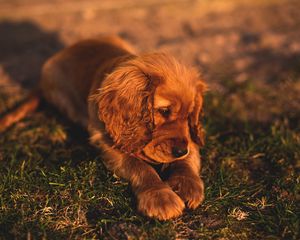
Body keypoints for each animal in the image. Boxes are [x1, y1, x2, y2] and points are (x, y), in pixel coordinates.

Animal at [0, 36, 206, 220]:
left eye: (189, 115)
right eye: (163, 111)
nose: (180, 150)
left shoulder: (189, 139)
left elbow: (187, 158)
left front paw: (188, 186)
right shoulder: (107, 142)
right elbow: (140, 166)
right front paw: (160, 197)